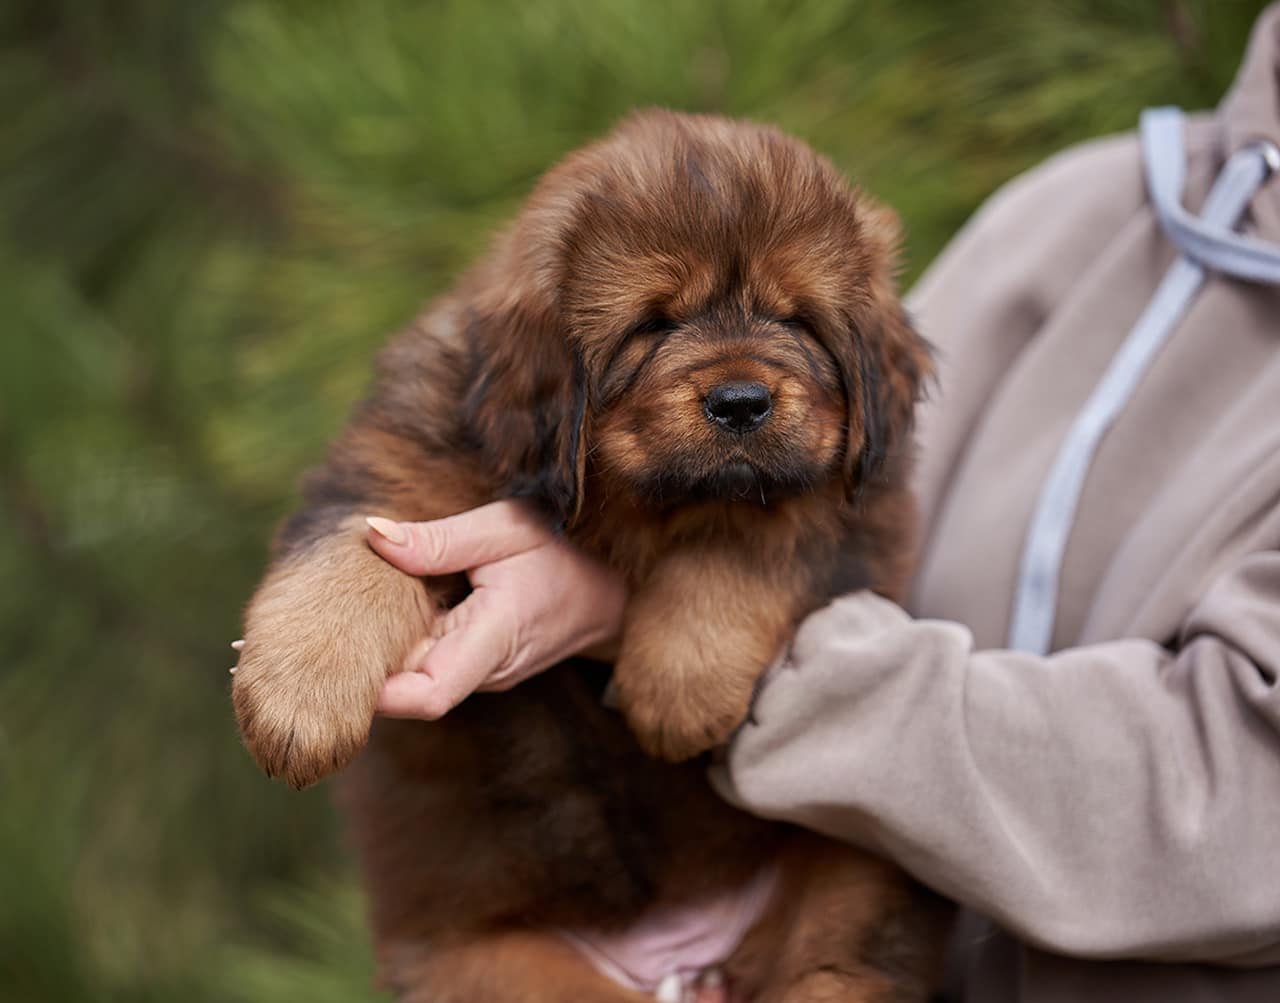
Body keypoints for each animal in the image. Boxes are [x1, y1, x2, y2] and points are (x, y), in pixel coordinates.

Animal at [232, 111, 952, 1002]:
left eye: (799, 322)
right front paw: (297, 701)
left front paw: (677, 682)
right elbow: (351, 553)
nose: (743, 402)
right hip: (493, 969)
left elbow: (760, 529)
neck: (626, 504)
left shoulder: (863, 503)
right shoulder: (398, 464)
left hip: (862, 869)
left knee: (842, 964)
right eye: (653, 324)